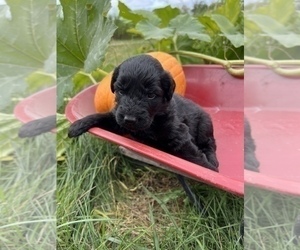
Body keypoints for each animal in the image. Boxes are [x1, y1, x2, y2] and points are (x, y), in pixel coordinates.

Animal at [68, 54, 218, 209]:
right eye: (121, 91)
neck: (152, 122)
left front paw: (210, 171)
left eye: (150, 95)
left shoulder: (179, 134)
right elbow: (103, 117)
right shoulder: (118, 120)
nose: (129, 119)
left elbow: (194, 156)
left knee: (209, 145)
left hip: (204, 126)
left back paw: (214, 162)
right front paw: (78, 124)